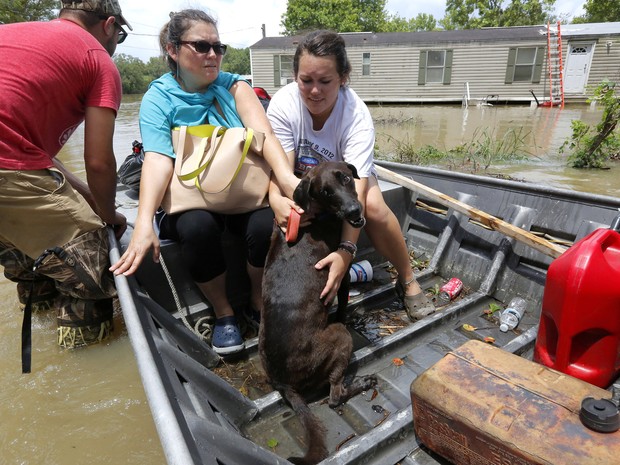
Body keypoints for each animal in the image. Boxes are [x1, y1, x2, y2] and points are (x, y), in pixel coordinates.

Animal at [258, 161, 376, 462]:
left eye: (346, 178)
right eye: (325, 192)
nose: (353, 211)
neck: (314, 214)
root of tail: (284, 383)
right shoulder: (341, 275)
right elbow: (343, 305)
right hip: (339, 338)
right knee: (334, 397)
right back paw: (363, 382)